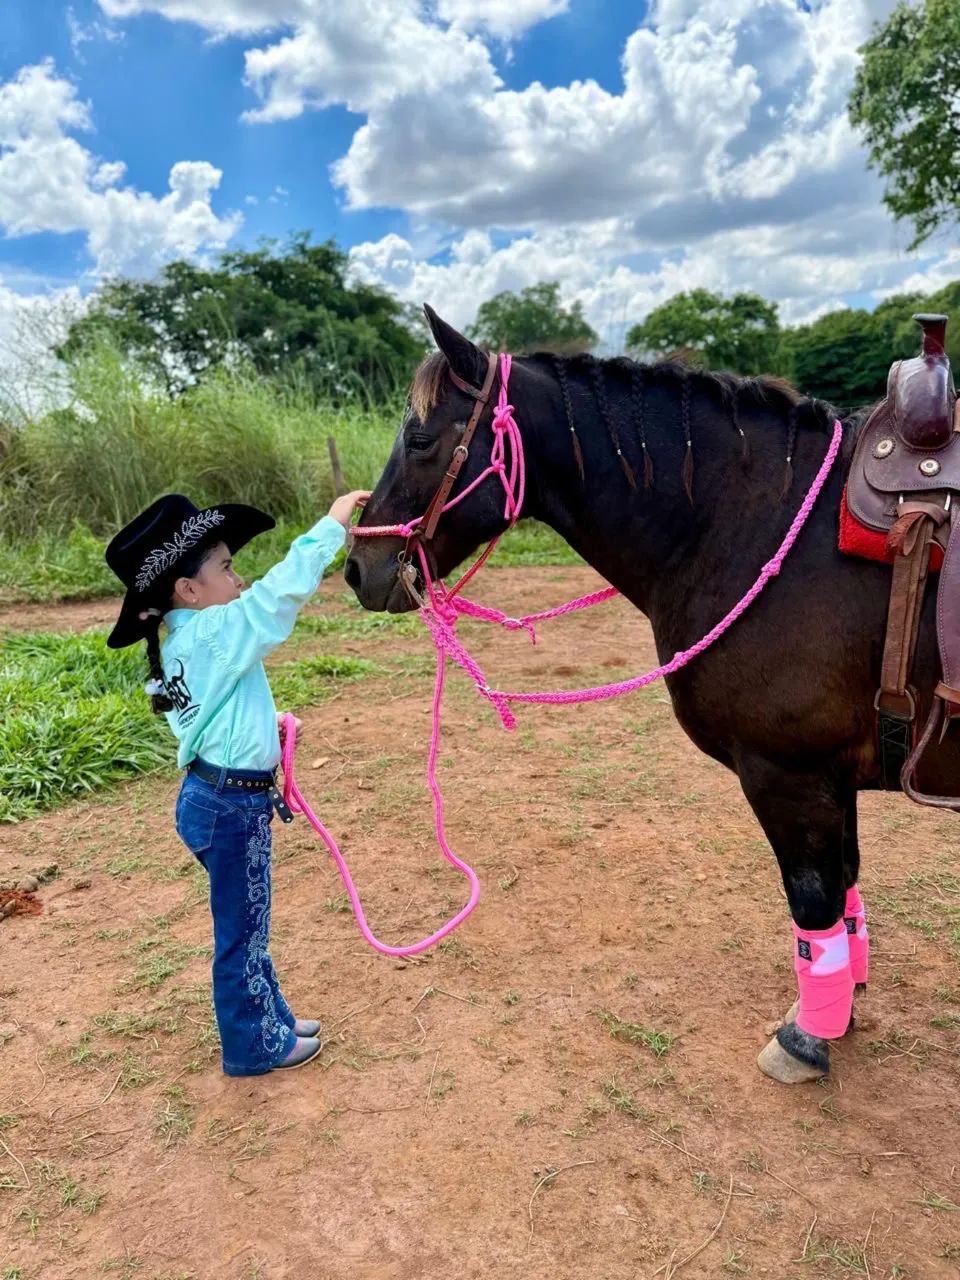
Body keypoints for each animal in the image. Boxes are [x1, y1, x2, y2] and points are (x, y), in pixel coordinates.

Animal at [344, 305, 960, 1085]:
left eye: (422, 438)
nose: (357, 568)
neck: (756, 524)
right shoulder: (829, 776)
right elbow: (845, 885)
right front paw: (843, 1009)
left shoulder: (789, 774)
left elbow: (814, 903)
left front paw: (806, 1038)